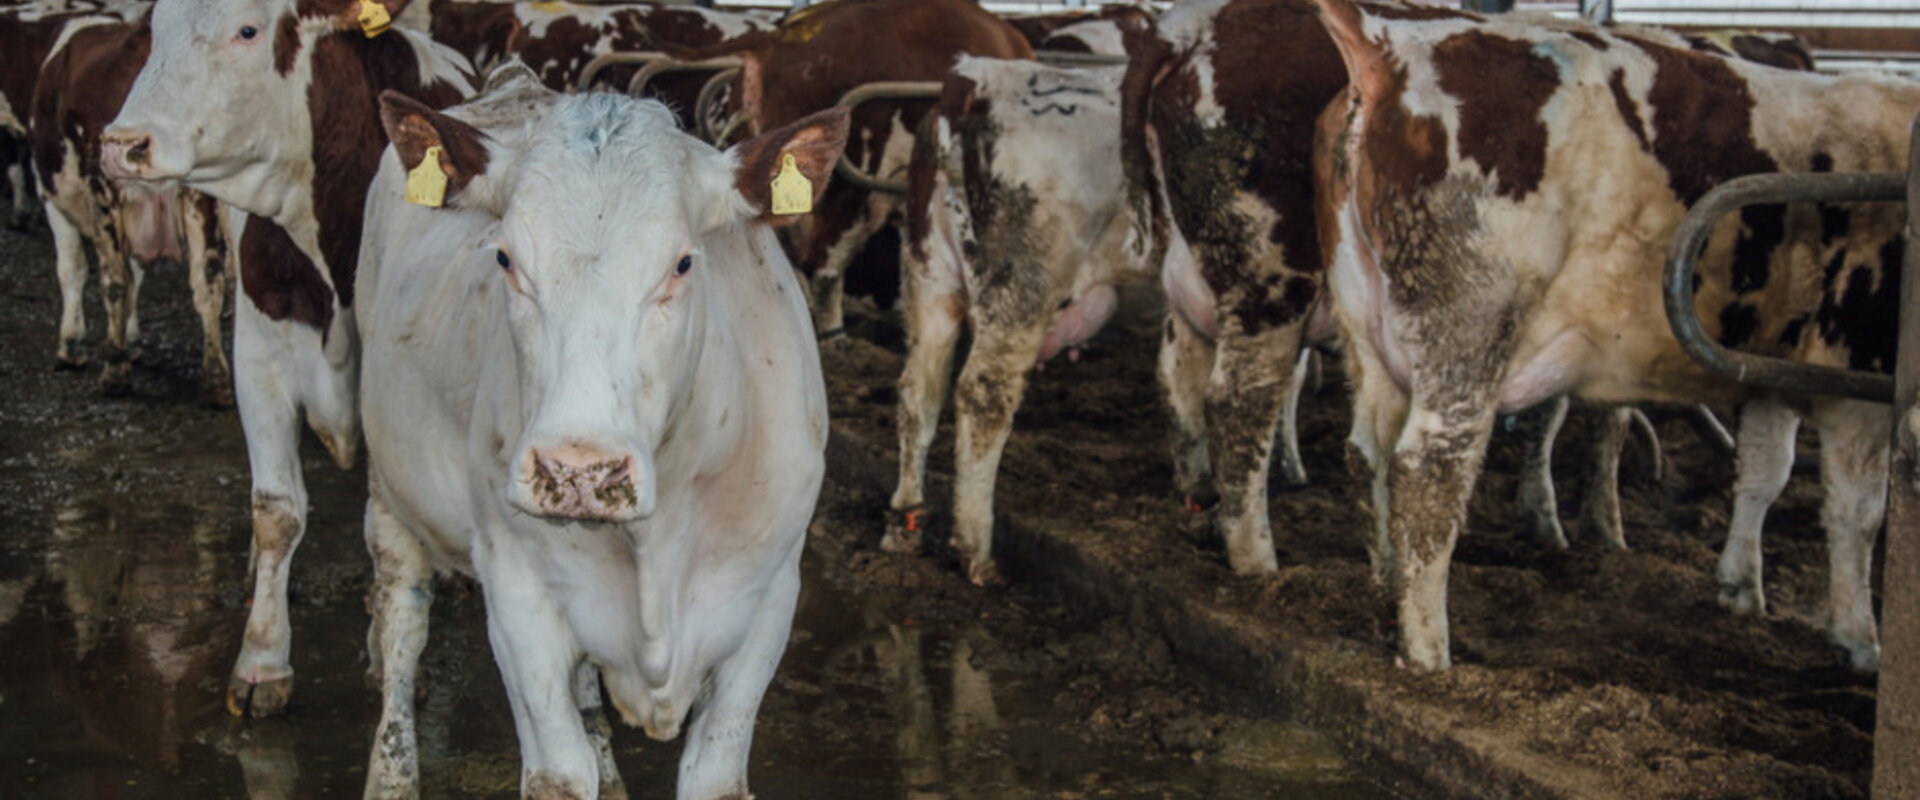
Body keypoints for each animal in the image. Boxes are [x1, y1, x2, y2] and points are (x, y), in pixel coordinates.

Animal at [30, 16, 233, 402]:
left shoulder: (56, 199)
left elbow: (75, 270)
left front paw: (74, 347)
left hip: (104, 190)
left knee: (113, 279)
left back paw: (114, 373)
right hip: (198, 195)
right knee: (207, 280)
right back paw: (216, 379)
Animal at [99, 0, 476, 715]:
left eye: (248, 30)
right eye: (155, 28)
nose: (121, 143)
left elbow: (380, 530)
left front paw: (383, 653)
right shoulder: (259, 357)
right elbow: (276, 511)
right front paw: (261, 659)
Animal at [355, 68, 844, 799]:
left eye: (683, 264)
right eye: (505, 258)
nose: (578, 472)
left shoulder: (769, 597)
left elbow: (713, 773)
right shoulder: (516, 594)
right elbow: (559, 772)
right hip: (390, 491)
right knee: (400, 624)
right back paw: (390, 769)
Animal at [1313, 0, 1917, 671]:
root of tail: (1388, 37)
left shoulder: (1769, 368)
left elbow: (1764, 472)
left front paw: (1740, 586)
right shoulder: (1862, 374)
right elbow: (1859, 512)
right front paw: (1860, 639)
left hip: (1369, 337)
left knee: (1367, 456)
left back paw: (1385, 601)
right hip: (1466, 336)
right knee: (1427, 470)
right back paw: (1426, 649)